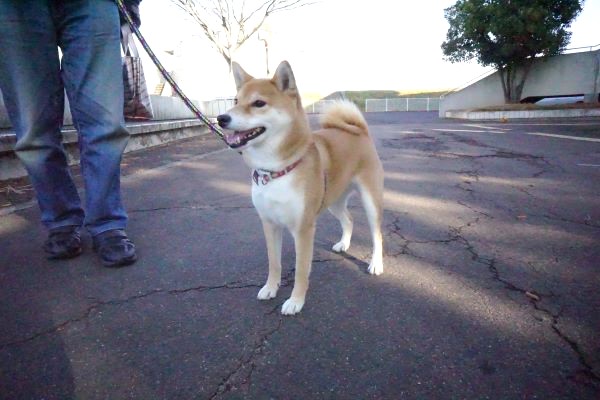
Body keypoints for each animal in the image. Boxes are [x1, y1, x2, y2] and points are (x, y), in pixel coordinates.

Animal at [217, 61, 384, 314]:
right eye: (236, 100)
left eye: (258, 103)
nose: (221, 118)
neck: (275, 171)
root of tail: (359, 130)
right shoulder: (269, 224)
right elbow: (274, 263)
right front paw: (270, 288)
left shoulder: (303, 228)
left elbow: (301, 271)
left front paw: (295, 301)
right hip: (333, 200)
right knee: (349, 219)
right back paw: (344, 244)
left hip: (370, 200)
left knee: (377, 234)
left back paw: (376, 264)